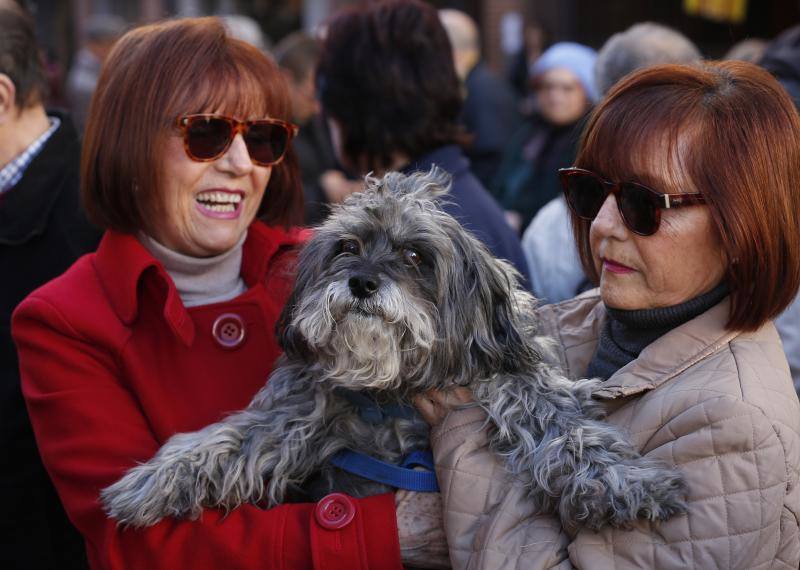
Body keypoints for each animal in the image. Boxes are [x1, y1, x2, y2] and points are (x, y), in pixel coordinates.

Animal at [100, 168, 688, 528]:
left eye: (415, 256)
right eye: (347, 246)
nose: (361, 282)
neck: (393, 394)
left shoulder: (512, 379)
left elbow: (563, 427)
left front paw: (623, 481)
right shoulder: (300, 410)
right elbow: (230, 440)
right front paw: (153, 480)